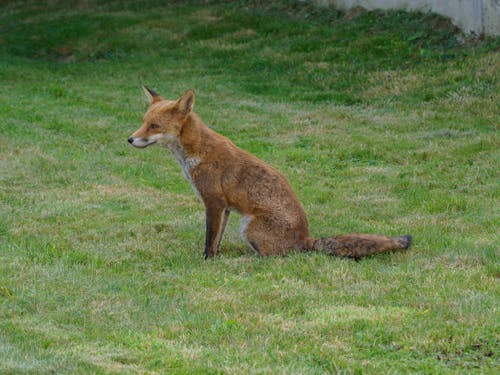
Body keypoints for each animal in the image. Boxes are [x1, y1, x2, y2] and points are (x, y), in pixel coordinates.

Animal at [128, 87, 410, 262]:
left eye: (154, 126)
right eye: (143, 121)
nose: (130, 139)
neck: (196, 151)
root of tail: (305, 238)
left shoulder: (214, 202)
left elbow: (209, 240)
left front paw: (207, 263)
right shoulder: (225, 208)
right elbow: (217, 240)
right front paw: (215, 258)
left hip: (249, 226)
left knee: (272, 258)